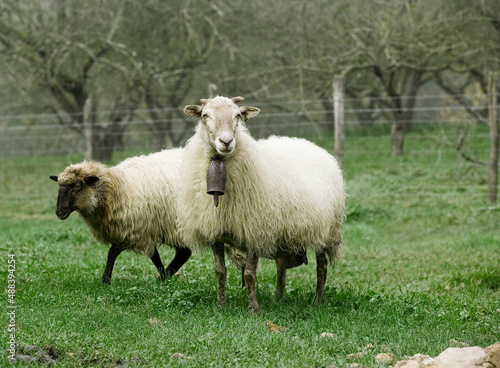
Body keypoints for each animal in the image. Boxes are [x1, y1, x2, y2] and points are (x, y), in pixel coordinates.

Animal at [178, 95, 346, 314]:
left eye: (238, 115)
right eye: (205, 115)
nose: (226, 142)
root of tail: (309, 144)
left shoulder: (253, 231)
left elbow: (249, 274)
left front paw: (253, 309)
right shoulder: (215, 232)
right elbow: (219, 271)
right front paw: (220, 305)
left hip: (326, 230)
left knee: (322, 266)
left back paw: (317, 300)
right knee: (281, 266)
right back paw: (278, 297)